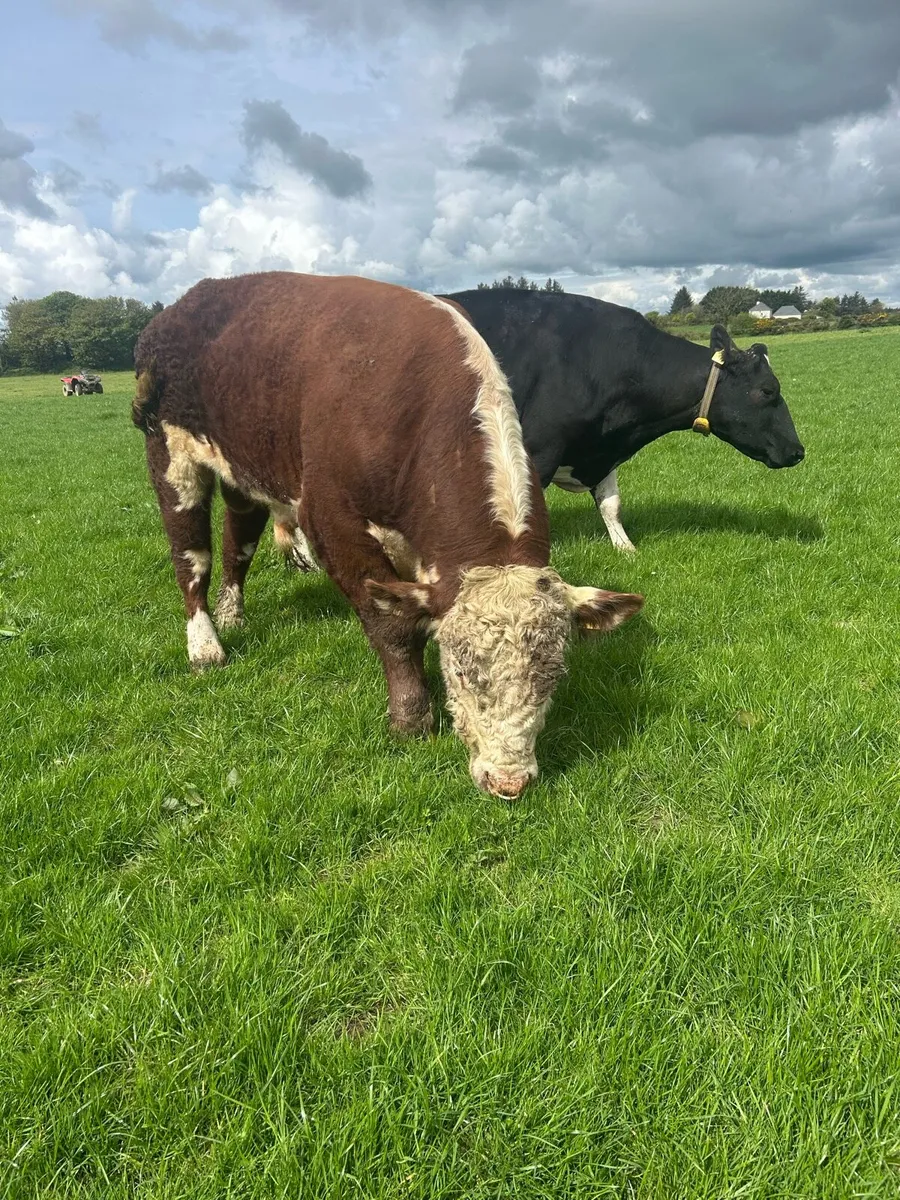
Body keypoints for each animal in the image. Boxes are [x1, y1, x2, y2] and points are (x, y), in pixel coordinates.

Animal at [132, 272, 643, 799]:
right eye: (459, 666)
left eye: (552, 674)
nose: (509, 780)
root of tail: (187, 301)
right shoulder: (333, 521)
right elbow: (391, 626)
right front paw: (412, 717)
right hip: (170, 453)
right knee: (191, 553)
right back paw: (205, 644)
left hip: (242, 468)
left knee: (239, 539)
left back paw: (232, 615)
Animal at [436, 289, 805, 553]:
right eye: (768, 390)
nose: (798, 451)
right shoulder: (538, 451)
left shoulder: (604, 448)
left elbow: (611, 504)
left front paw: (626, 549)